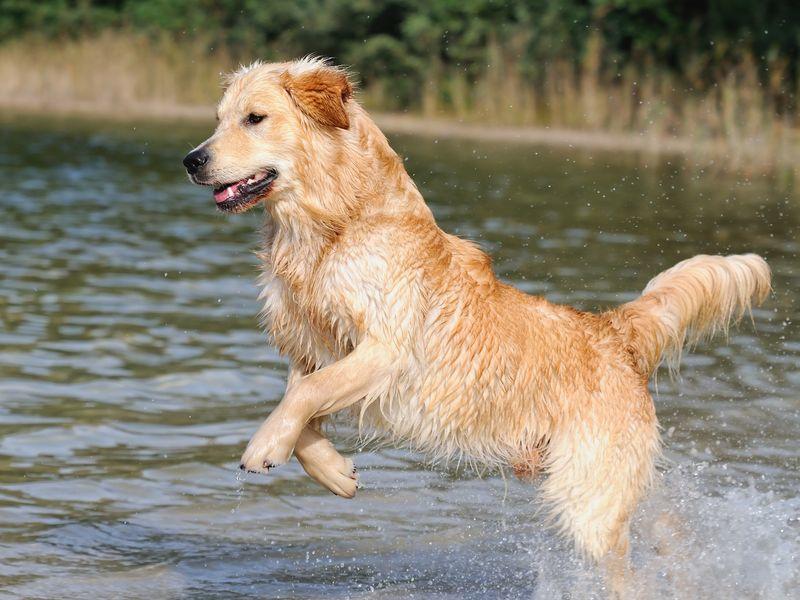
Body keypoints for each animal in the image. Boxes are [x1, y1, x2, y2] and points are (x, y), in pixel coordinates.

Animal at [183, 57, 768, 596]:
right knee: (664, 515)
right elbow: (298, 403)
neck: (334, 224)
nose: (191, 160)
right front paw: (333, 471)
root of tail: (613, 330)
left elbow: (305, 396)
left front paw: (262, 448)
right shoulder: (310, 347)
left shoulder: (386, 348)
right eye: (218, 119)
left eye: (255, 118)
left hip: (588, 501)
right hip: (596, 479)